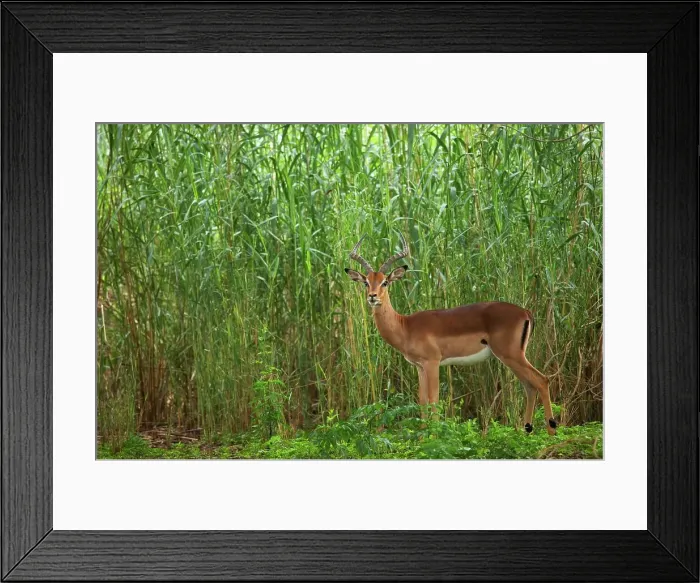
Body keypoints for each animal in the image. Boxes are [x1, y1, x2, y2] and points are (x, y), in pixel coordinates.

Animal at [344, 234, 557, 435]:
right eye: (366, 282)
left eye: (385, 282)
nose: (372, 297)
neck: (405, 326)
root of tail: (525, 312)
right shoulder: (419, 367)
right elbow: (422, 401)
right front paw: (422, 438)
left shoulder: (432, 363)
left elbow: (434, 400)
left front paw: (435, 437)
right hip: (511, 358)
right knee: (529, 386)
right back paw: (527, 431)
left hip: (511, 355)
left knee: (542, 380)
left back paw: (551, 431)